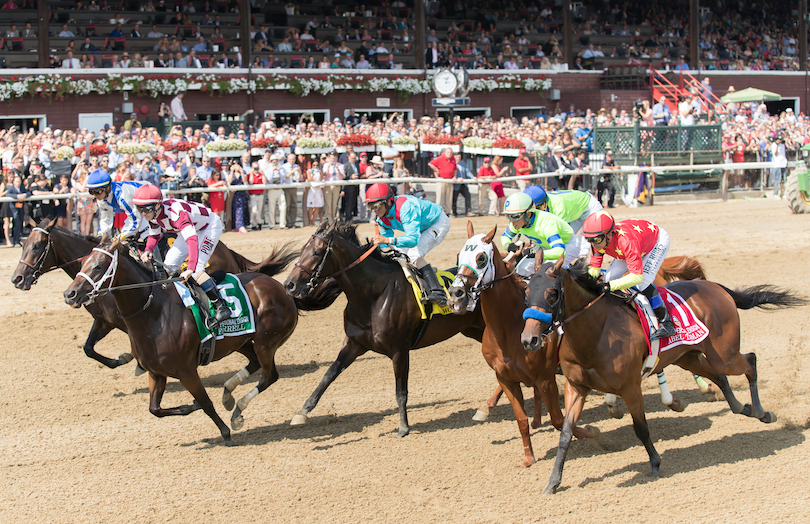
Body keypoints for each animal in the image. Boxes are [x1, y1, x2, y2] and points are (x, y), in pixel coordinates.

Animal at [11, 219, 254, 370]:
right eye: (23, 244)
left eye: (37, 246)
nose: (17, 279)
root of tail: (227, 250)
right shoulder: (104, 320)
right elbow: (88, 348)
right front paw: (121, 360)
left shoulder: (125, 320)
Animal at [60, 237, 338, 442]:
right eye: (83, 262)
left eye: (98, 266)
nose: (70, 293)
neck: (154, 313)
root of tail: (284, 290)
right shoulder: (156, 372)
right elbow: (155, 409)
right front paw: (190, 406)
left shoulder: (186, 370)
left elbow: (204, 401)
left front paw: (224, 432)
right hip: (241, 342)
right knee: (254, 365)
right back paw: (228, 395)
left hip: (265, 342)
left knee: (269, 375)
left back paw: (237, 410)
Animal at [282, 221, 482, 438]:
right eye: (302, 250)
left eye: (317, 252)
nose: (289, 284)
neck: (373, 295)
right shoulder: (355, 343)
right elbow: (329, 373)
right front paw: (302, 412)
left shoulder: (399, 350)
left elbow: (400, 391)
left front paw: (403, 427)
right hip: (473, 330)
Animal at [520, 256, 804, 494]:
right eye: (526, 293)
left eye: (552, 293)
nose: (528, 340)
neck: (597, 331)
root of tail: (715, 287)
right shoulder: (576, 386)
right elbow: (565, 434)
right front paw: (553, 482)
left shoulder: (631, 387)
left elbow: (641, 428)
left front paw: (655, 464)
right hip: (689, 357)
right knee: (721, 377)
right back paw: (742, 407)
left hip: (724, 354)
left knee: (750, 362)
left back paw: (762, 412)